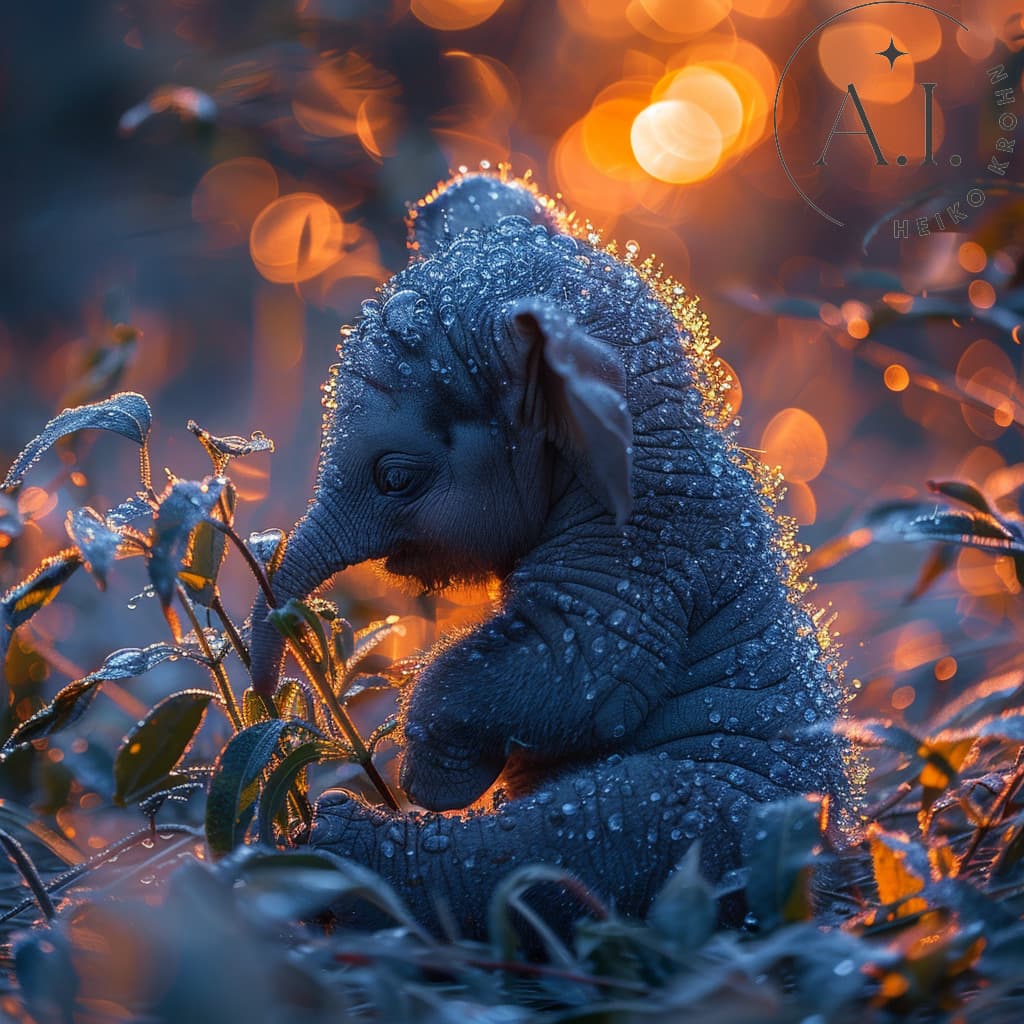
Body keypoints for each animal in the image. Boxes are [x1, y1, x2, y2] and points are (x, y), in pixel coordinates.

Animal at [247, 172, 848, 937]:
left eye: (396, 478)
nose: (266, 702)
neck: (661, 429)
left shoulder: (641, 565)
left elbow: (573, 667)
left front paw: (432, 779)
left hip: (696, 820)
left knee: (550, 849)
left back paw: (333, 847)